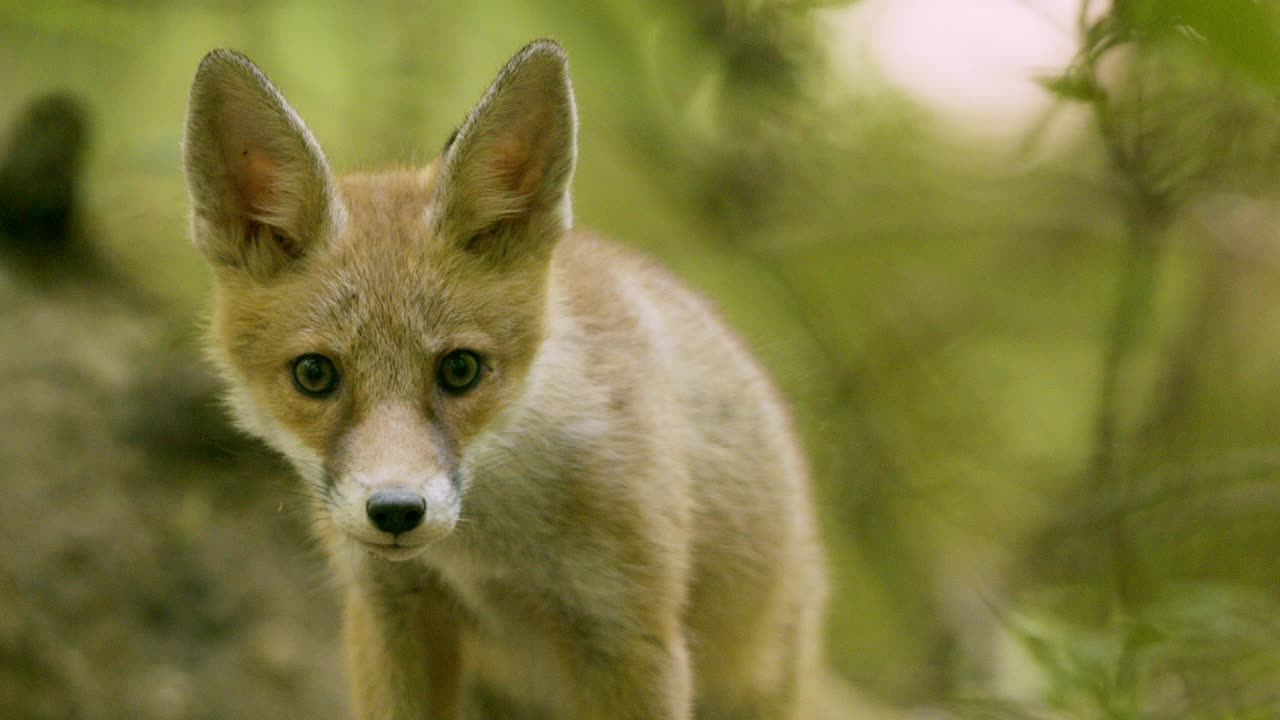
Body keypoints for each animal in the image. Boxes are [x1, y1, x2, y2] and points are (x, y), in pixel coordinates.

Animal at [180, 40, 839, 717]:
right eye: (315, 374)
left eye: (460, 369)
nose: (396, 511)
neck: (487, 558)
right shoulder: (392, 611)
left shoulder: (628, 632)